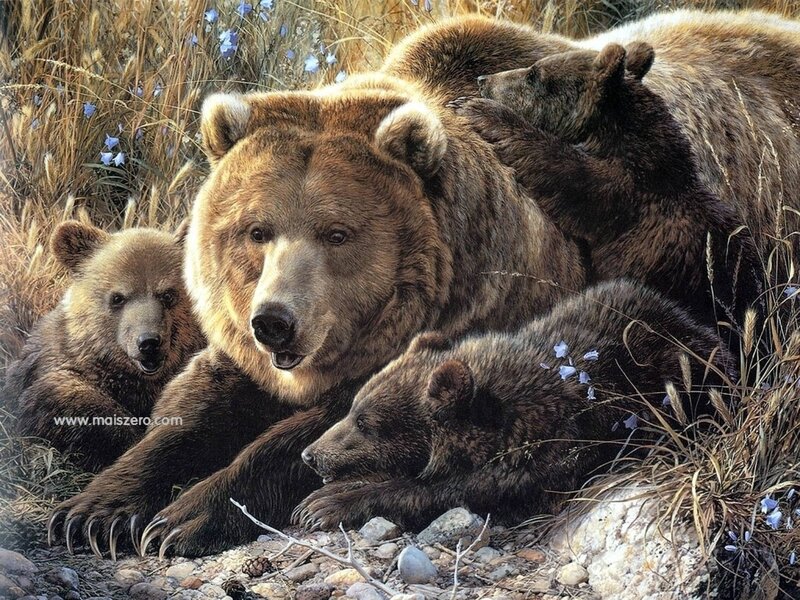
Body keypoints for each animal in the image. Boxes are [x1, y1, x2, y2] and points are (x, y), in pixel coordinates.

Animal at [46, 80, 587, 557]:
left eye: (337, 233)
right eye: (256, 230)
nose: (274, 322)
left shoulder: (445, 334)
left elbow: (321, 436)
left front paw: (181, 519)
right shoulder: (243, 360)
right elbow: (188, 413)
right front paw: (92, 514)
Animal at [294, 279, 736, 531]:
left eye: (365, 422)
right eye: (353, 408)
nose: (309, 455)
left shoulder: (545, 452)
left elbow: (454, 491)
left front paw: (326, 504)